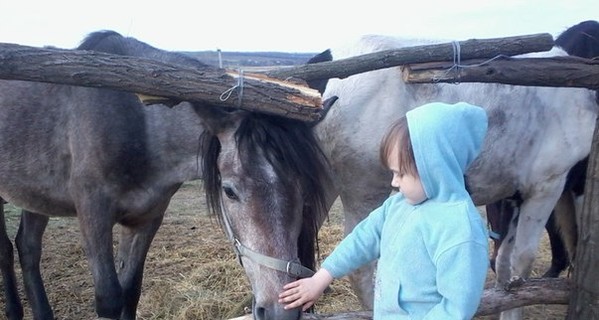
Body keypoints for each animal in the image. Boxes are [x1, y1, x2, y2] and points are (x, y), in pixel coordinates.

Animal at [314, 26, 599, 318]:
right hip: (365, 192)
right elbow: (522, 262)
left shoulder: (513, 197)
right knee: (361, 270)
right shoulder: (547, 187)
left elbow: (505, 262)